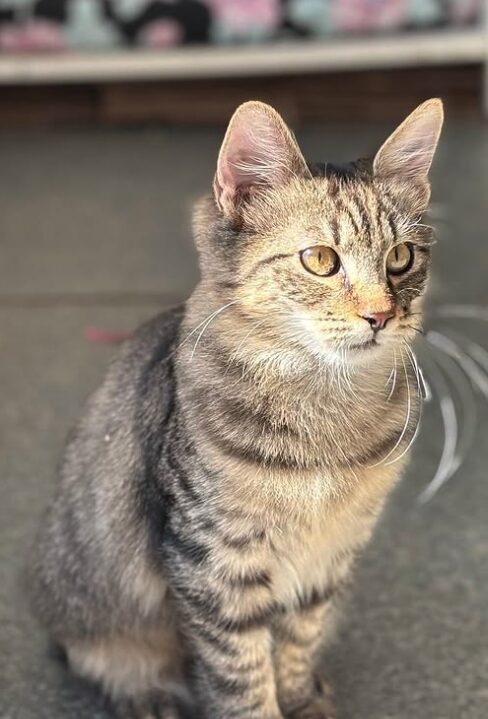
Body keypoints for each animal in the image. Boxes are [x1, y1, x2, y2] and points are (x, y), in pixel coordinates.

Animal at [28, 97, 444, 719]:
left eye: (400, 258)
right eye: (321, 260)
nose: (380, 316)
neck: (326, 409)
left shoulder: (327, 559)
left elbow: (296, 646)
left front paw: (302, 699)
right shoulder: (214, 563)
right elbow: (241, 678)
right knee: (98, 659)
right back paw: (149, 696)